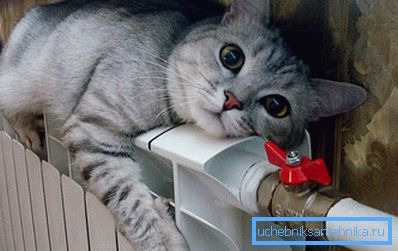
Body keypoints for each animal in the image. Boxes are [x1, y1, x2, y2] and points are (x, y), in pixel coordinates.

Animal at [0, 0, 366, 250]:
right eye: (231, 56)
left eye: (277, 106)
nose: (231, 99)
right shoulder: (93, 126)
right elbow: (127, 196)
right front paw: (164, 239)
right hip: (19, 80)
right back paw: (28, 130)